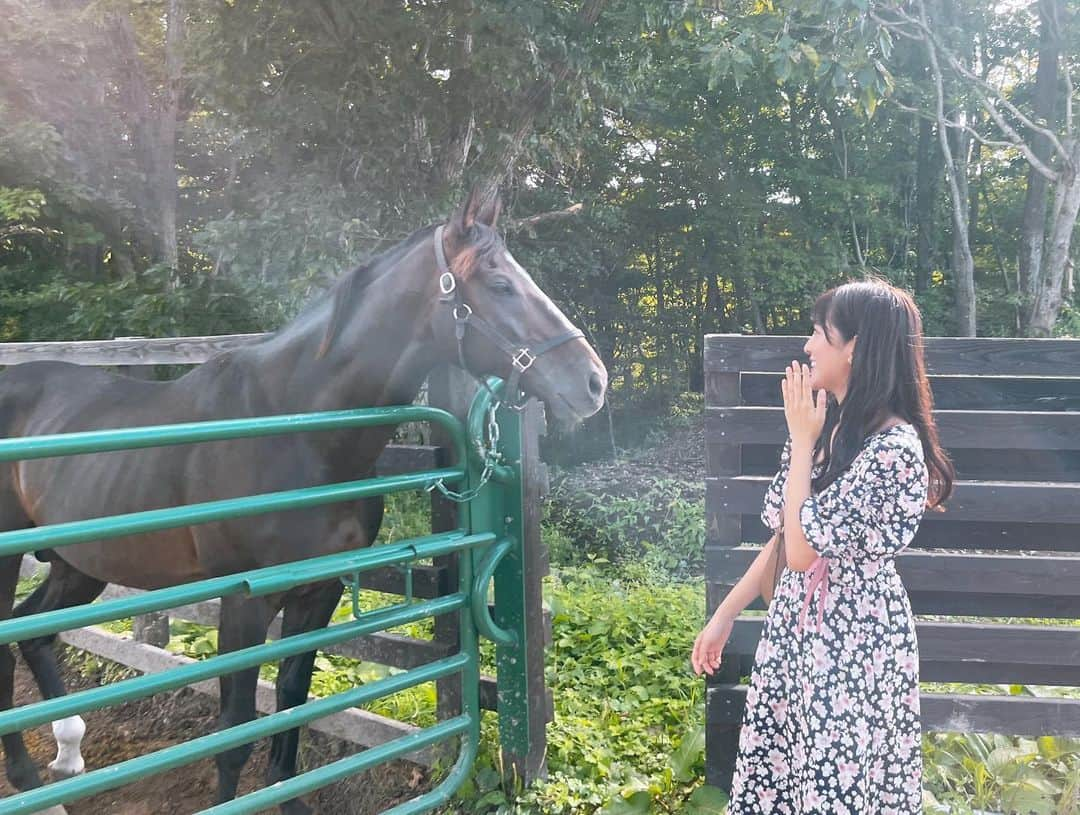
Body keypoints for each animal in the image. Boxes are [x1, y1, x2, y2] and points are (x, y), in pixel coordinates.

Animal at [0, 187, 609, 811]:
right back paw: (27, 778)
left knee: (34, 631)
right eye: (500, 284)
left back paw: (67, 755)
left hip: (78, 565)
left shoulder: (319, 592)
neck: (294, 429)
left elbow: (292, 699)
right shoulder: (243, 603)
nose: (593, 381)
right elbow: (236, 728)